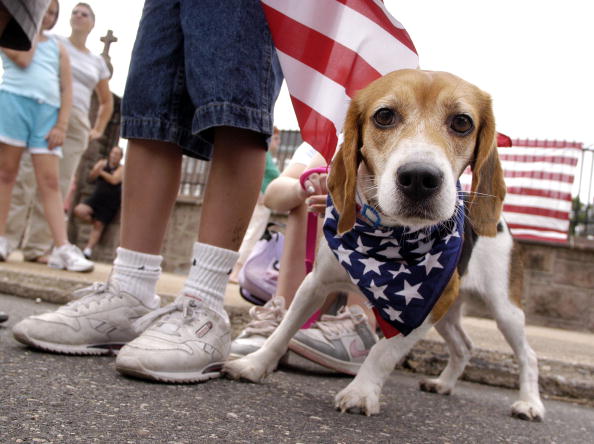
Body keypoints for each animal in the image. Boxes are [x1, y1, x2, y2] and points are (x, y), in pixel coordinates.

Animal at [224, 67, 544, 422]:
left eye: (462, 122)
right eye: (385, 116)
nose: (419, 178)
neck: (388, 238)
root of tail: (501, 224)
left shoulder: (423, 307)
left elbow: (383, 351)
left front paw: (361, 392)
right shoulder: (315, 283)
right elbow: (284, 329)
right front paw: (255, 364)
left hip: (502, 309)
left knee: (528, 355)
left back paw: (530, 403)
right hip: (450, 309)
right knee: (464, 347)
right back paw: (444, 384)